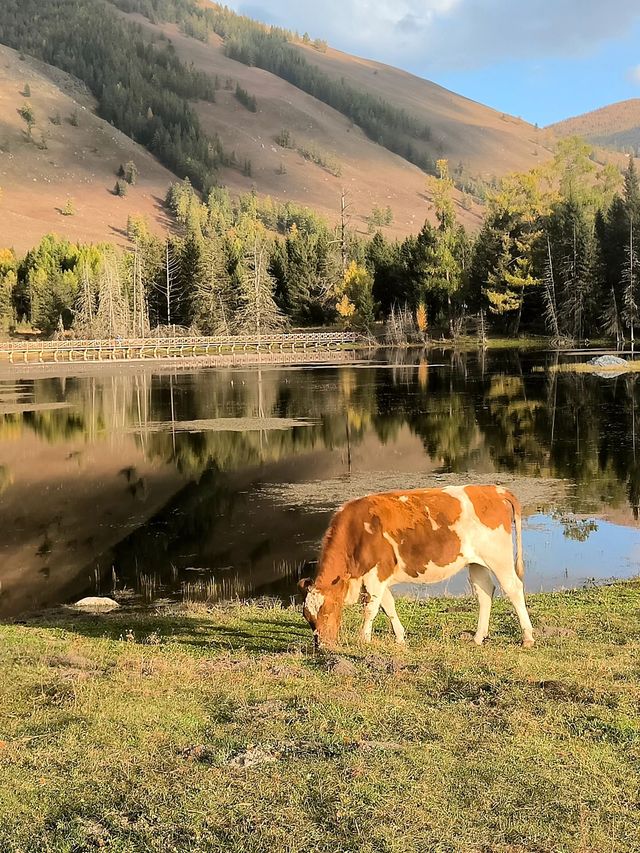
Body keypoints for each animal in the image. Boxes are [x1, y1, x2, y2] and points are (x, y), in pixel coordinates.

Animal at [300, 486, 536, 644]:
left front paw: (364, 639)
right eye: (308, 617)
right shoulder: (380, 577)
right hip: (477, 562)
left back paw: (527, 637)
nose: (322, 645)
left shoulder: (376, 575)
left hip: (499, 557)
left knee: (514, 588)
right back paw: (477, 637)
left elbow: (371, 609)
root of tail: (494, 489)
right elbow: (388, 606)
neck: (356, 532)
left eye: (328, 611)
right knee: (485, 592)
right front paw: (400, 638)